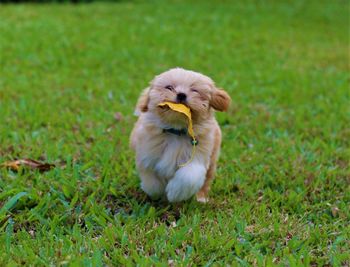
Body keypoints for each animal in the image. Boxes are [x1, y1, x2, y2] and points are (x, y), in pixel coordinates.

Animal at [130, 68, 231, 203]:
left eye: (194, 90)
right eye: (169, 87)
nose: (181, 94)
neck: (176, 131)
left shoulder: (197, 156)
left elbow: (188, 177)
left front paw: (174, 194)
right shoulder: (147, 155)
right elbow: (151, 181)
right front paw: (159, 193)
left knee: (206, 180)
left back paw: (201, 199)